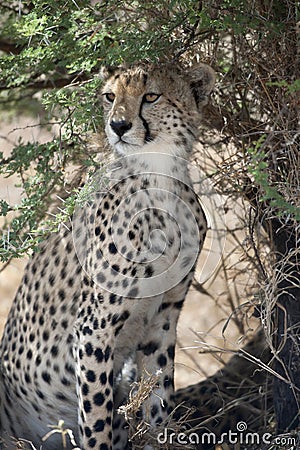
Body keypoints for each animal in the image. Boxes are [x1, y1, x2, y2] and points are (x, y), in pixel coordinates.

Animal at [0, 62, 216, 450]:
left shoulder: (163, 319)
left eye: (151, 96)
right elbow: (96, 416)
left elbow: (158, 398)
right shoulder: (92, 328)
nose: (117, 125)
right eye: (110, 96)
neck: (159, 177)